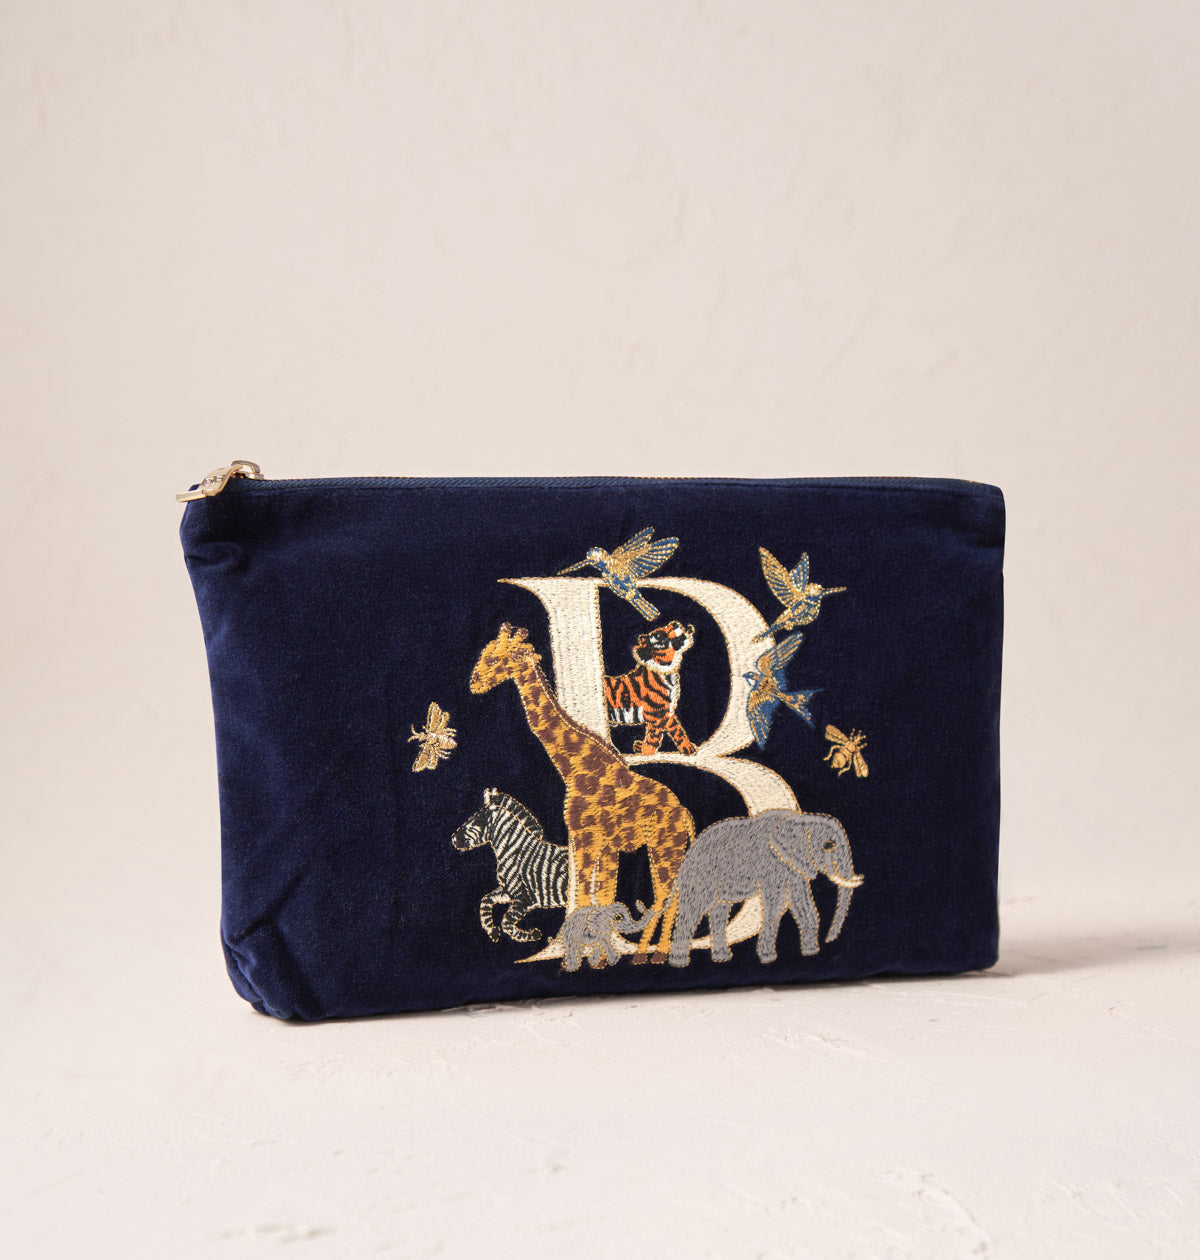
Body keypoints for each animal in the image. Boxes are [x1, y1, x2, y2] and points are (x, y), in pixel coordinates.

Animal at [667, 810, 863, 968]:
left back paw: (722, 957)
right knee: (693, 911)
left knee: (720, 911)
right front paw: (768, 957)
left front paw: (810, 951)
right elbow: (776, 903)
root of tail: (687, 858)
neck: (801, 819)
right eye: (829, 845)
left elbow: (801, 902)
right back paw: (680, 961)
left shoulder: (795, 868)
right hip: (701, 877)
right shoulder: (770, 865)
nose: (829, 939)